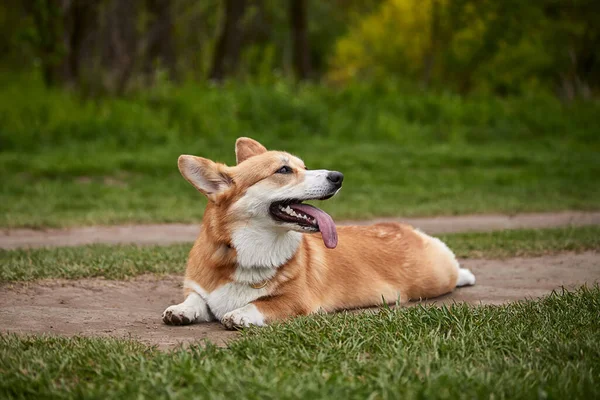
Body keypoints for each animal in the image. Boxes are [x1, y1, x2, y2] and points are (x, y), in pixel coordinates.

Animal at [162, 138, 476, 332]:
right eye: (284, 169)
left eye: (304, 166)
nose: (338, 176)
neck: (246, 250)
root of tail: (406, 229)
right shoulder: (200, 288)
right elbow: (195, 299)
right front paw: (180, 310)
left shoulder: (297, 300)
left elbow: (261, 303)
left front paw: (239, 313)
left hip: (433, 279)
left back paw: (466, 275)